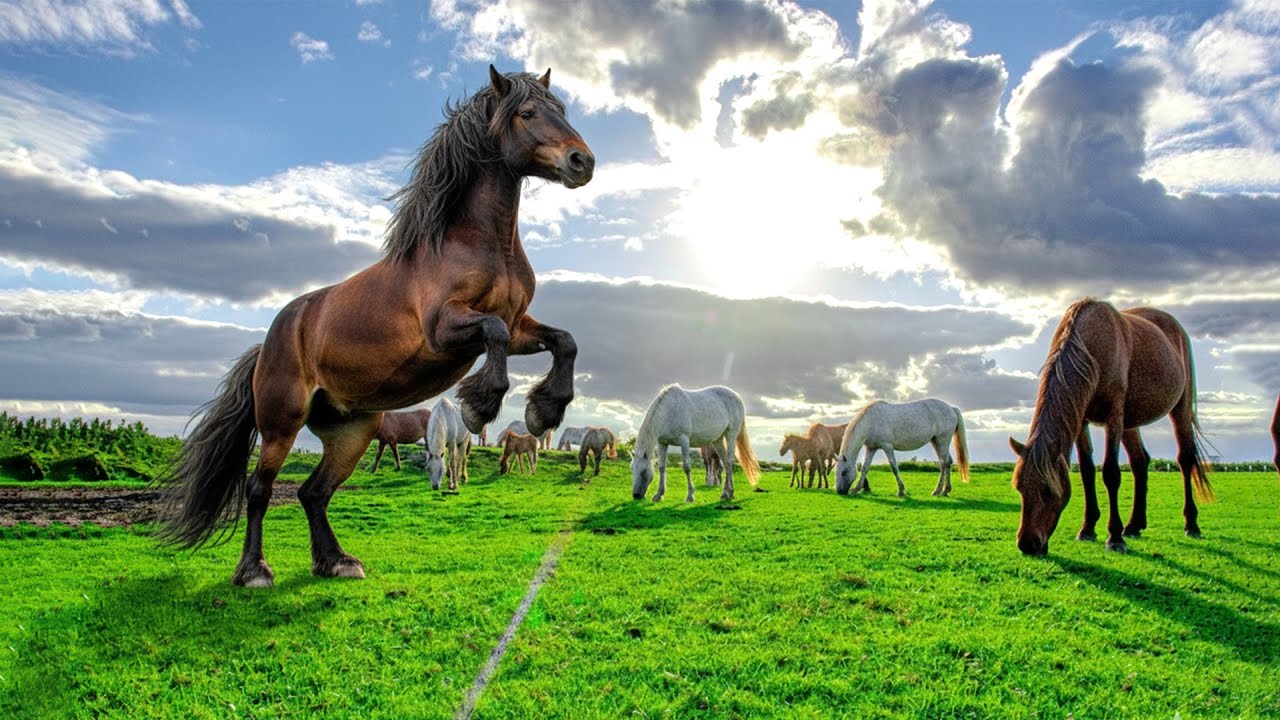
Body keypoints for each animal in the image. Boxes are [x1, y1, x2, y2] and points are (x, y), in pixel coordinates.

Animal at [155, 67, 594, 587]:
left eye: (561, 110)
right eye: (527, 113)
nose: (582, 161)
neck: (476, 244)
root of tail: (268, 344)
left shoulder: (522, 323)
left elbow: (564, 341)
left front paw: (544, 411)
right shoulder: (446, 330)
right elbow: (494, 335)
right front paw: (479, 405)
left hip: (351, 433)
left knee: (313, 493)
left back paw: (337, 561)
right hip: (281, 424)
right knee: (259, 489)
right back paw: (255, 570)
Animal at [631, 385, 760, 502]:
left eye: (643, 471)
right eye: (631, 469)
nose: (636, 495)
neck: (669, 411)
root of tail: (737, 396)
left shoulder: (684, 440)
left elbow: (686, 467)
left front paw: (690, 496)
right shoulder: (662, 443)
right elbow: (662, 467)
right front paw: (659, 495)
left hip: (731, 436)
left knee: (729, 461)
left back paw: (728, 492)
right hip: (718, 440)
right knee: (725, 463)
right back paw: (728, 493)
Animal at [834, 398, 969, 498]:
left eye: (844, 472)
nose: (840, 491)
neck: (870, 421)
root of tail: (951, 408)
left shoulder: (887, 447)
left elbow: (894, 467)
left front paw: (901, 491)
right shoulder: (871, 448)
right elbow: (864, 468)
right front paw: (857, 488)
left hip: (942, 441)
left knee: (945, 462)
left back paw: (941, 490)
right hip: (935, 441)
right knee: (945, 463)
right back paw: (942, 490)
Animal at [1009, 298, 1213, 556]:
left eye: (1047, 491)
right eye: (1019, 488)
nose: (1027, 544)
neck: (1091, 347)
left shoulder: (1114, 417)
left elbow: (1110, 473)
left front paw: (1114, 537)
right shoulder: (1081, 420)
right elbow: (1087, 471)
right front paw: (1088, 528)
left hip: (1179, 409)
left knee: (1185, 460)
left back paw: (1191, 524)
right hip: (1130, 423)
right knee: (1139, 462)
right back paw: (1134, 525)